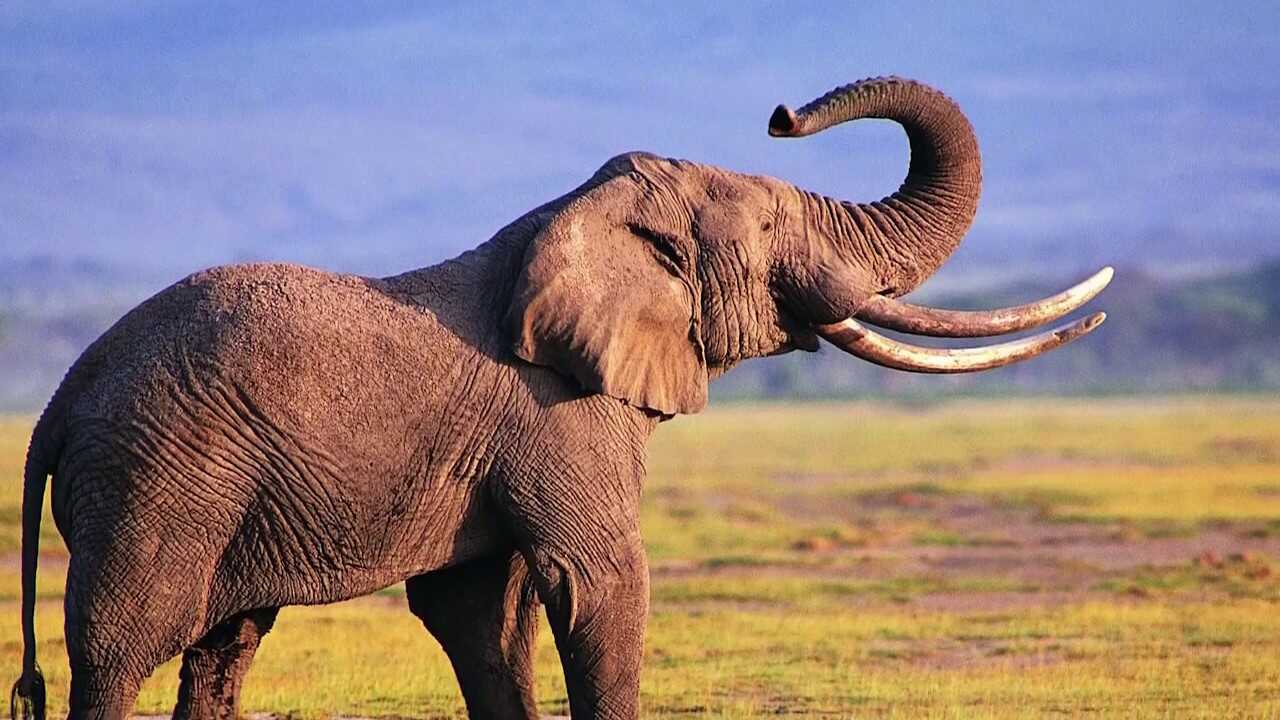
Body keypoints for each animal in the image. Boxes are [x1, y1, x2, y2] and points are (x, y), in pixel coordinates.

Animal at [10, 77, 1110, 720]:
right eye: (765, 229)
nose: (782, 114)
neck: (574, 216)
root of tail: (61, 400)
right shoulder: (558, 413)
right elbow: (596, 585)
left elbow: (480, 618)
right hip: (158, 478)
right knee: (122, 646)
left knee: (223, 646)